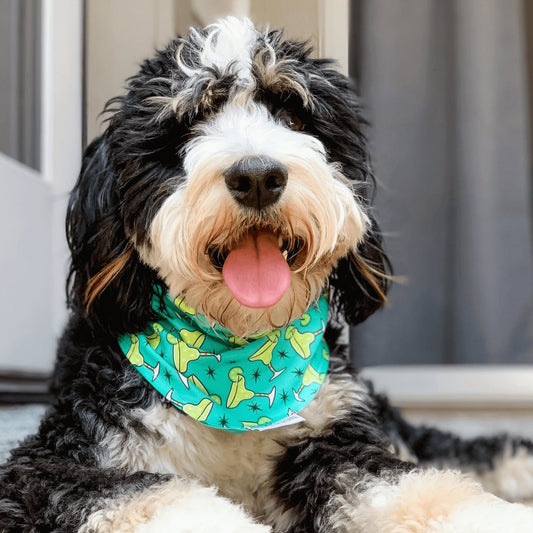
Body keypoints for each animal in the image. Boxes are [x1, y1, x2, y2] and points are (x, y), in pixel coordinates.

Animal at [3, 17, 532, 532]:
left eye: (295, 116)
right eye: (189, 123)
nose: (257, 176)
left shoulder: (332, 434)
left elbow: (418, 487)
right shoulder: (55, 464)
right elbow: (161, 497)